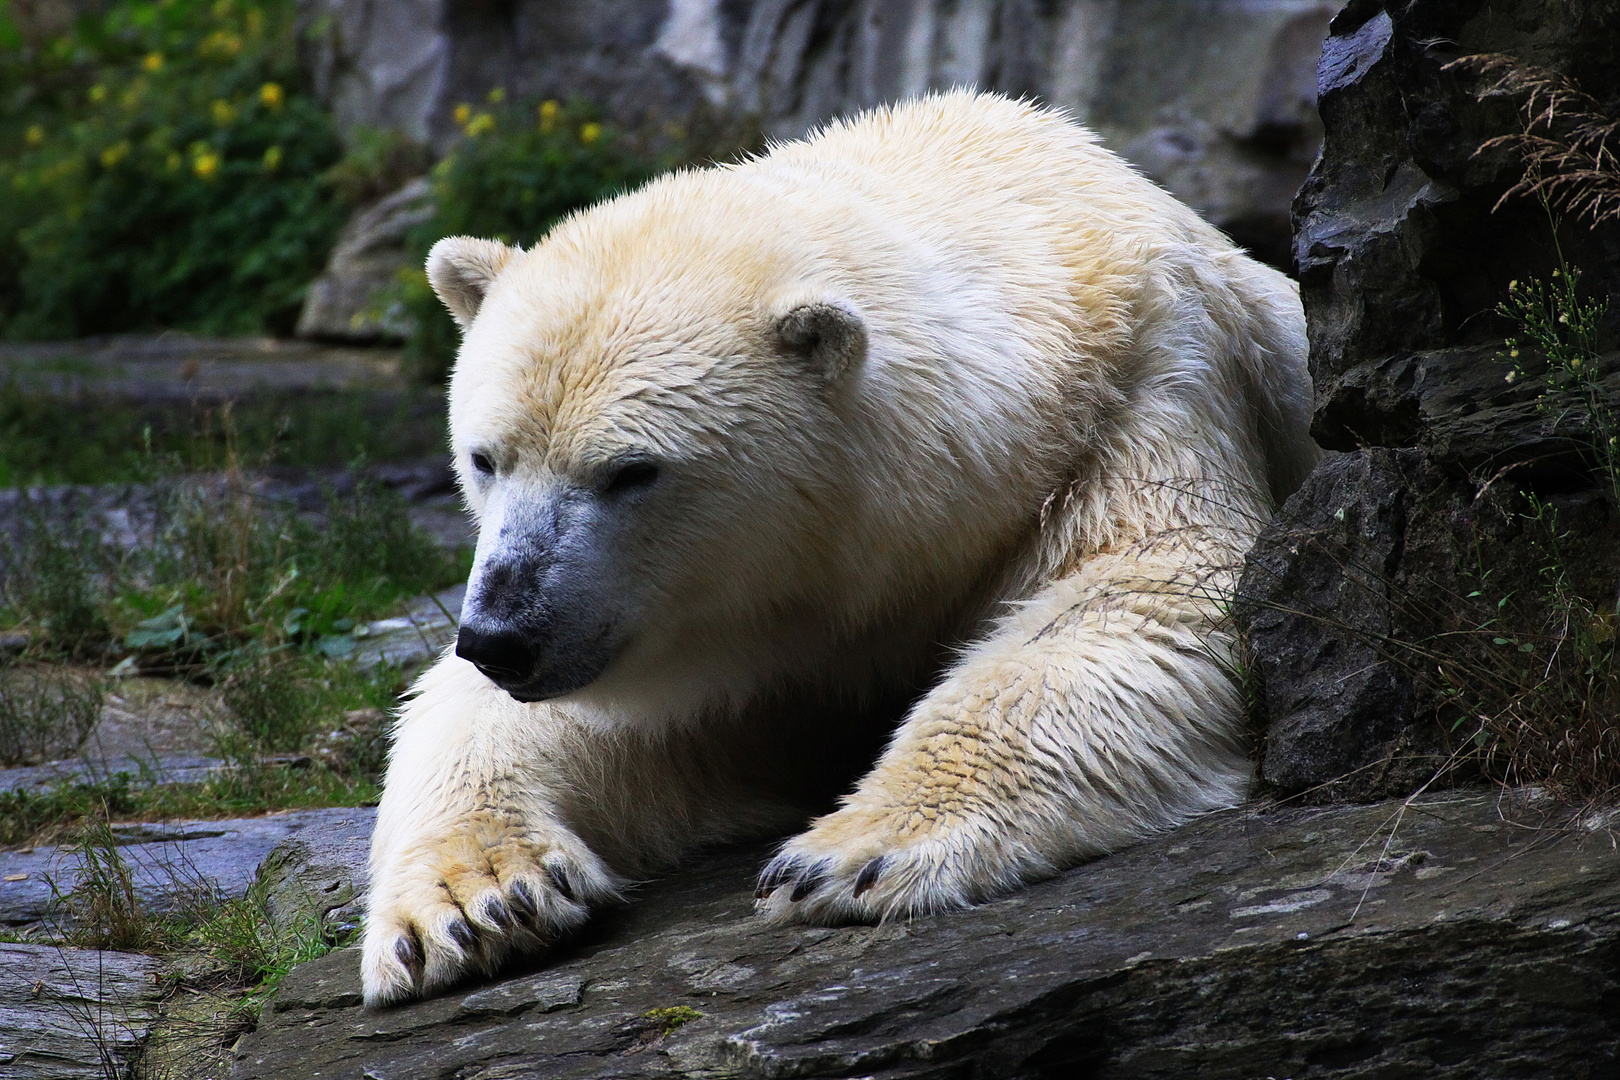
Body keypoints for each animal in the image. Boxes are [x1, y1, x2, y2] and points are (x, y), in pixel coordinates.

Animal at [364, 90, 1315, 1003]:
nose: (503, 636)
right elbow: (515, 718)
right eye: (485, 458)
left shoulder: (1148, 394)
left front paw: (843, 853)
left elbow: (1142, 599)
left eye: (631, 471)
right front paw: (473, 905)